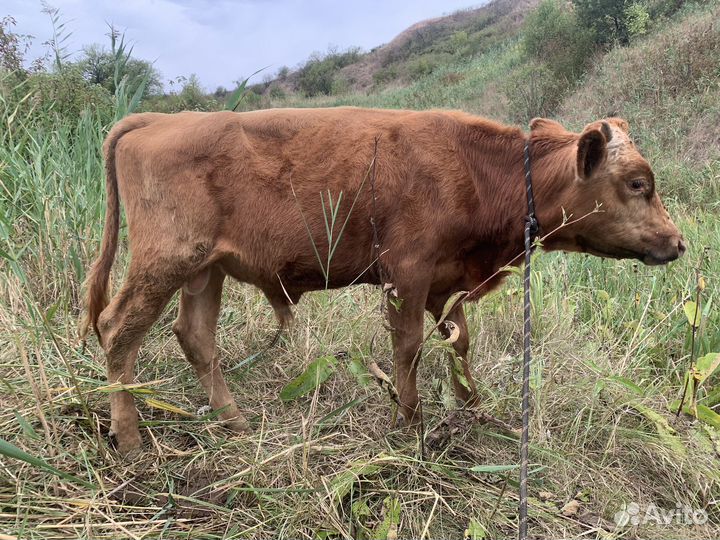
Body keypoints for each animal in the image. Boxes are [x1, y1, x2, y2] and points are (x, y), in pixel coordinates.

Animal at [81, 105, 684, 452]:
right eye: (638, 183)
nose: (677, 243)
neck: (482, 170)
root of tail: (160, 118)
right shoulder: (407, 275)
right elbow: (408, 348)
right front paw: (411, 425)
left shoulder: (445, 281)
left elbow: (460, 343)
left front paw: (474, 409)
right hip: (166, 261)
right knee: (118, 330)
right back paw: (130, 443)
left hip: (205, 270)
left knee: (195, 336)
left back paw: (237, 423)